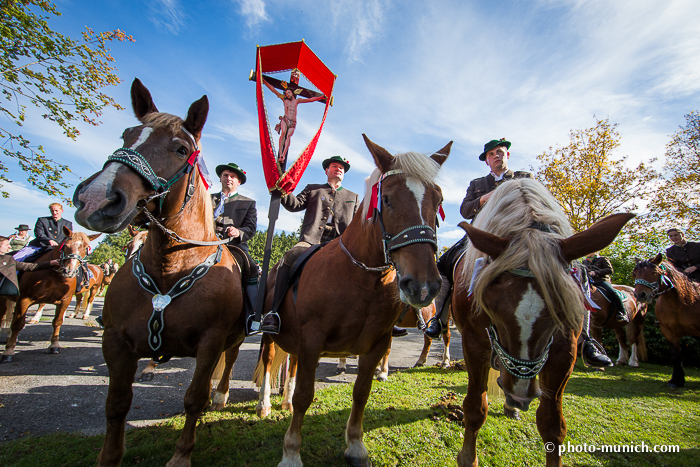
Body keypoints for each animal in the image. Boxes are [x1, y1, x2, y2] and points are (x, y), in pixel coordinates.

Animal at [0, 229, 100, 362]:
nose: (70, 271)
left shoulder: (65, 299)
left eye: (85, 248)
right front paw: (8, 351)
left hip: (95, 287)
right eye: (66, 246)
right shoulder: (24, 299)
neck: (55, 275)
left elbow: (57, 321)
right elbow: (18, 324)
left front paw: (54, 346)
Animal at [72, 78, 245, 466]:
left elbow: (194, 399)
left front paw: (181, 455)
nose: (96, 200)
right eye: (127, 135)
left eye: (181, 149)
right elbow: (117, 404)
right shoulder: (116, 342)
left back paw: (221, 394)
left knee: (227, 363)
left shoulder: (210, 341)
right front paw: (109, 456)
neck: (171, 268)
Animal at [258, 136, 448, 467]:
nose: (424, 286)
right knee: (269, 361)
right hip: (272, 335)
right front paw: (291, 452)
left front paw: (356, 446)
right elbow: (305, 396)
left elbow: (362, 391)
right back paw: (266, 404)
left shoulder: (376, 343)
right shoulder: (312, 340)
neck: (360, 278)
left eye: (437, 201)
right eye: (387, 199)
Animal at [448, 177, 636, 466]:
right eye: (490, 304)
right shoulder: (474, 342)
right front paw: (468, 457)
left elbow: (552, 424)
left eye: (561, 310)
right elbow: (475, 408)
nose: (520, 392)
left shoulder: (564, 349)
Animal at [636, 254, 700, 390]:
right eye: (635, 273)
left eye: (654, 272)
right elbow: (676, 356)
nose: (640, 295)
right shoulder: (668, 331)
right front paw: (676, 380)